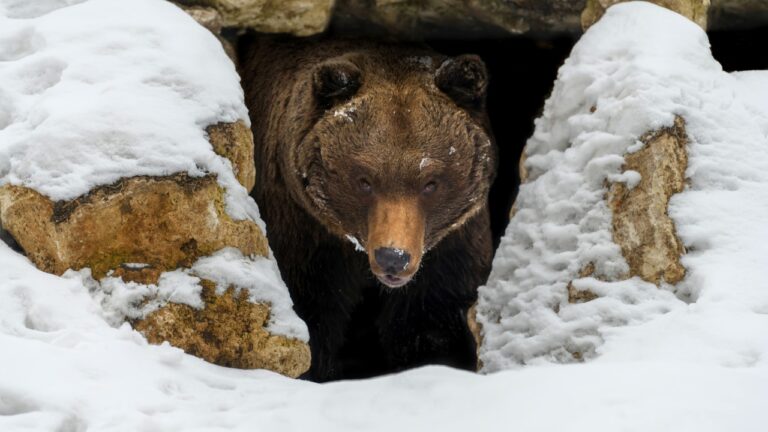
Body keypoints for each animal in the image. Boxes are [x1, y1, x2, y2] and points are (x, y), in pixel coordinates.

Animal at [239, 36, 497, 382]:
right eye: (364, 180)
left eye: (431, 182)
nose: (393, 257)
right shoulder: (305, 235)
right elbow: (311, 312)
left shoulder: (451, 250)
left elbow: (431, 325)